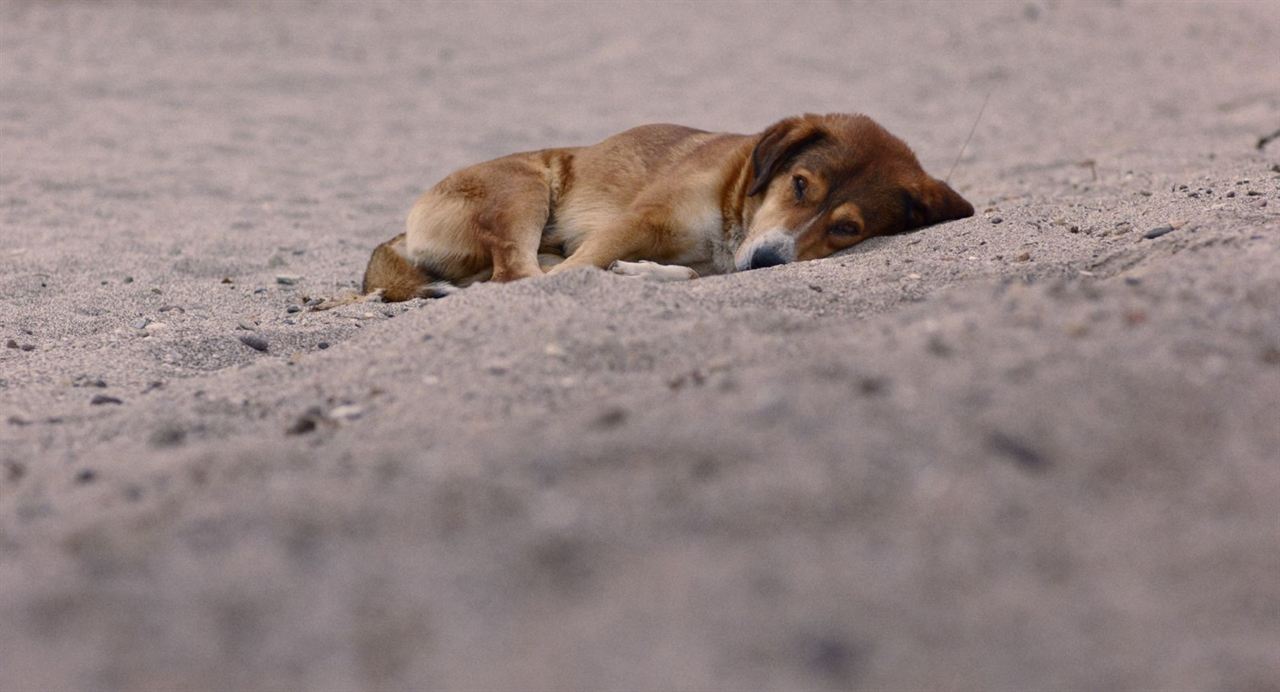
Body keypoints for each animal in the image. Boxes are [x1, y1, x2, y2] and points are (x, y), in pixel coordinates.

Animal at [355, 111, 972, 300]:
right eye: (799, 186)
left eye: (846, 228)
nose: (767, 263)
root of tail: (400, 235)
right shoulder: (633, 221)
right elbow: (584, 266)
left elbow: (687, 275)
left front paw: (641, 273)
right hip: (522, 190)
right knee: (517, 278)